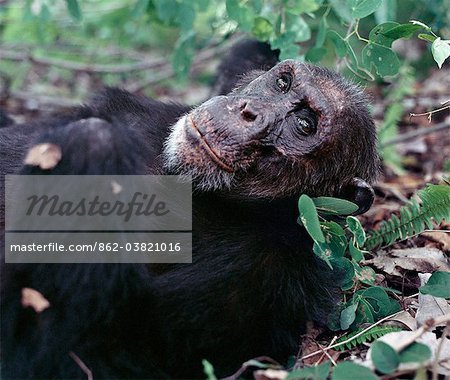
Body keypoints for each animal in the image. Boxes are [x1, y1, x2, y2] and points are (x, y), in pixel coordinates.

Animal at [1, 40, 378, 378]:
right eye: (282, 84)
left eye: (304, 125)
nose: (249, 111)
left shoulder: (263, 276)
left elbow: (109, 354)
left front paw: (92, 146)